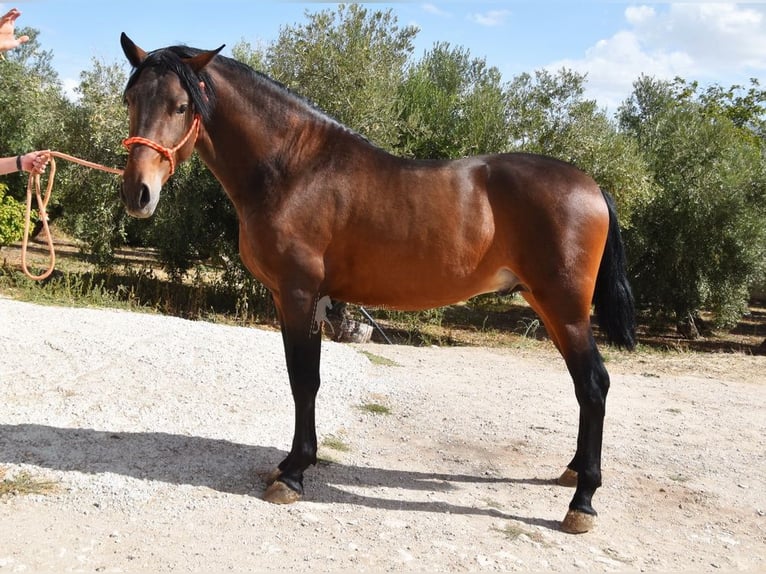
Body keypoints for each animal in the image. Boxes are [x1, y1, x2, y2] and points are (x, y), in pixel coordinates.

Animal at [118, 33, 636, 534]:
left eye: (180, 106)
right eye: (131, 99)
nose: (137, 193)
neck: (294, 168)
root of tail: (592, 187)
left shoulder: (301, 295)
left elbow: (304, 380)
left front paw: (293, 474)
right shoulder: (290, 299)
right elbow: (300, 378)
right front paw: (290, 464)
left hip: (566, 309)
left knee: (594, 384)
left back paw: (582, 502)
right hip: (549, 308)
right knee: (584, 385)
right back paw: (573, 471)